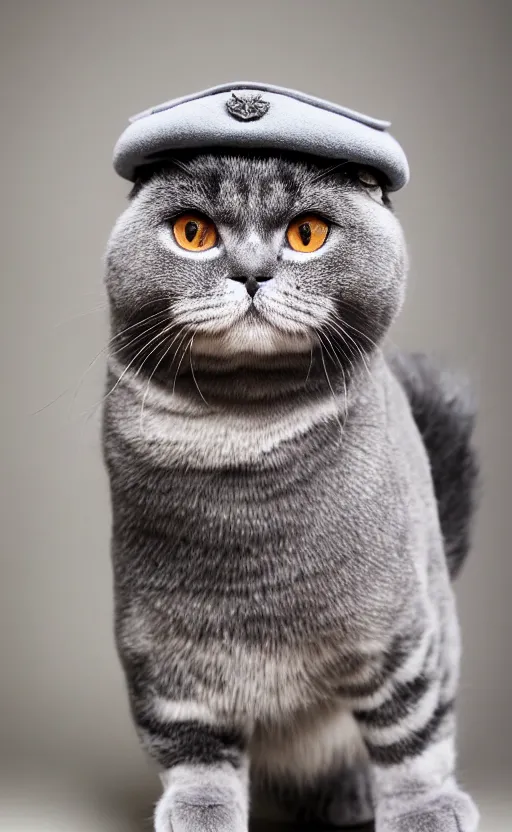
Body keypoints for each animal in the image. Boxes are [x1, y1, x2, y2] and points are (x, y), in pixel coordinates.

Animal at [101, 151, 480, 832]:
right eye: (193, 232)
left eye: (307, 234)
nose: (252, 273)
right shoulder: (161, 655)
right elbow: (195, 751)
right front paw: (201, 811)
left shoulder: (402, 638)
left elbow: (410, 735)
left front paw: (424, 809)